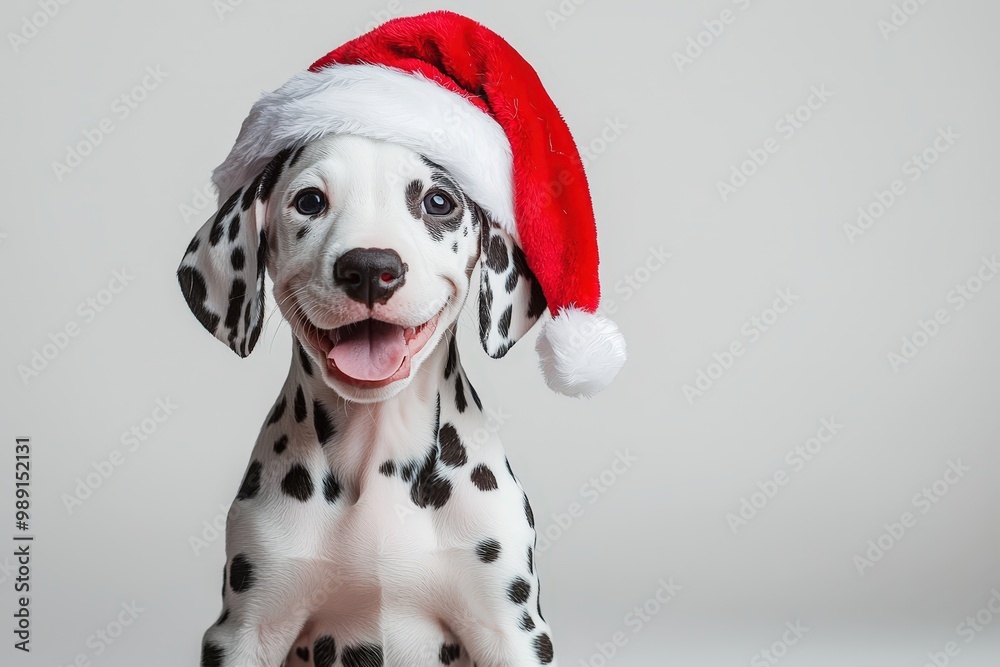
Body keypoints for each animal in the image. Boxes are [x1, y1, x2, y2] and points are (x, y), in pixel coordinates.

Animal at [179, 133, 556, 664]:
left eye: (438, 202)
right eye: (309, 201)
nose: (370, 267)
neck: (376, 448)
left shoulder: (512, 630)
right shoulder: (245, 630)